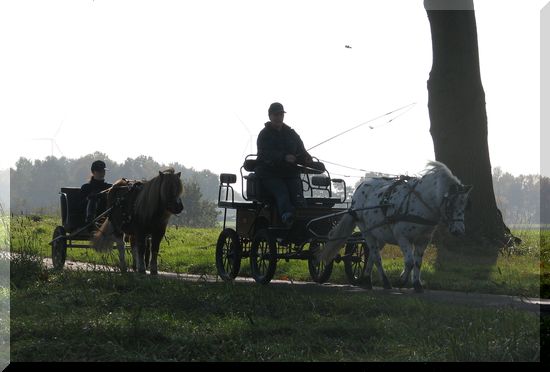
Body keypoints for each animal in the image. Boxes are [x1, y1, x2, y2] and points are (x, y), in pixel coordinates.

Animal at [316, 161, 472, 292]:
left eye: (465, 204)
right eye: (451, 203)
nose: (459, 231)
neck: (420, 202)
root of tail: (359, 189)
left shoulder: (423, 240)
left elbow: (418, 262)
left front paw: (417, 284)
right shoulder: (402, 237)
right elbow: (409, 261)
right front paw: (401, 281)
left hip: (380, 236)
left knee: (372, 255)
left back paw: (367, 280)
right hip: (367, 232)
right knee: (376, 257)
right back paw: (384, 282)